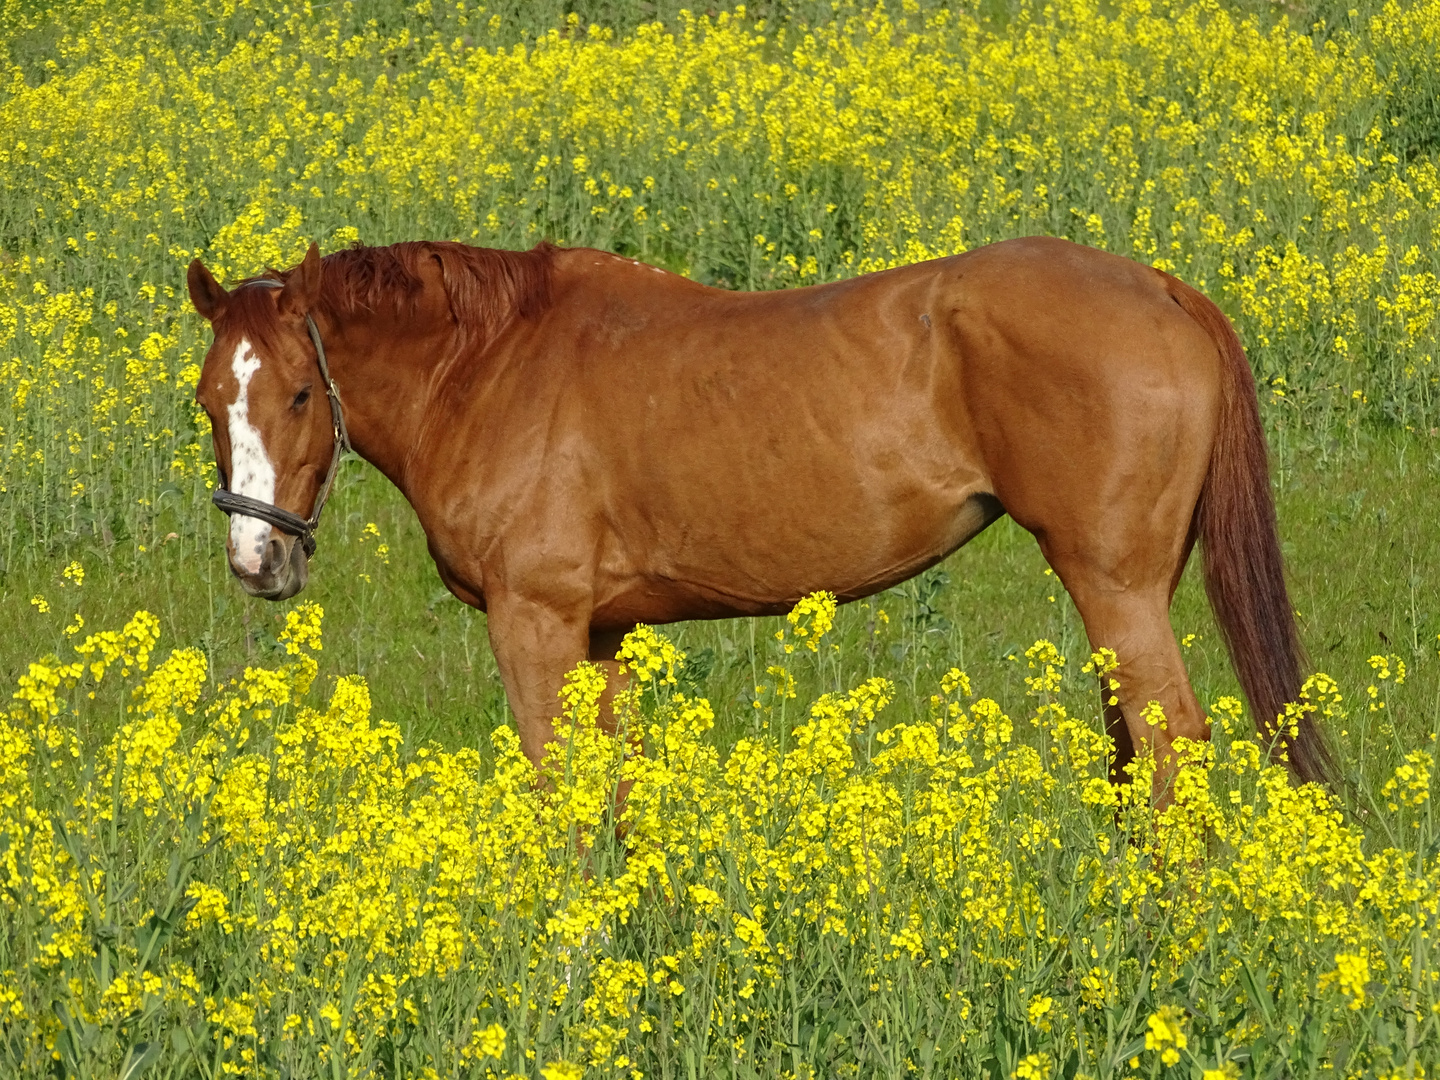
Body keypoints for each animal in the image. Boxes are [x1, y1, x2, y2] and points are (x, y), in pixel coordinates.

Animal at [185, 236, 1330, 789]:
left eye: (300, 393)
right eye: (206, 399)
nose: (254, 562)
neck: (498, 364)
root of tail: (1163, 289)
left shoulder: (536, 622)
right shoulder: (600, 633)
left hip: (1114, 585)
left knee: (1173, 740)